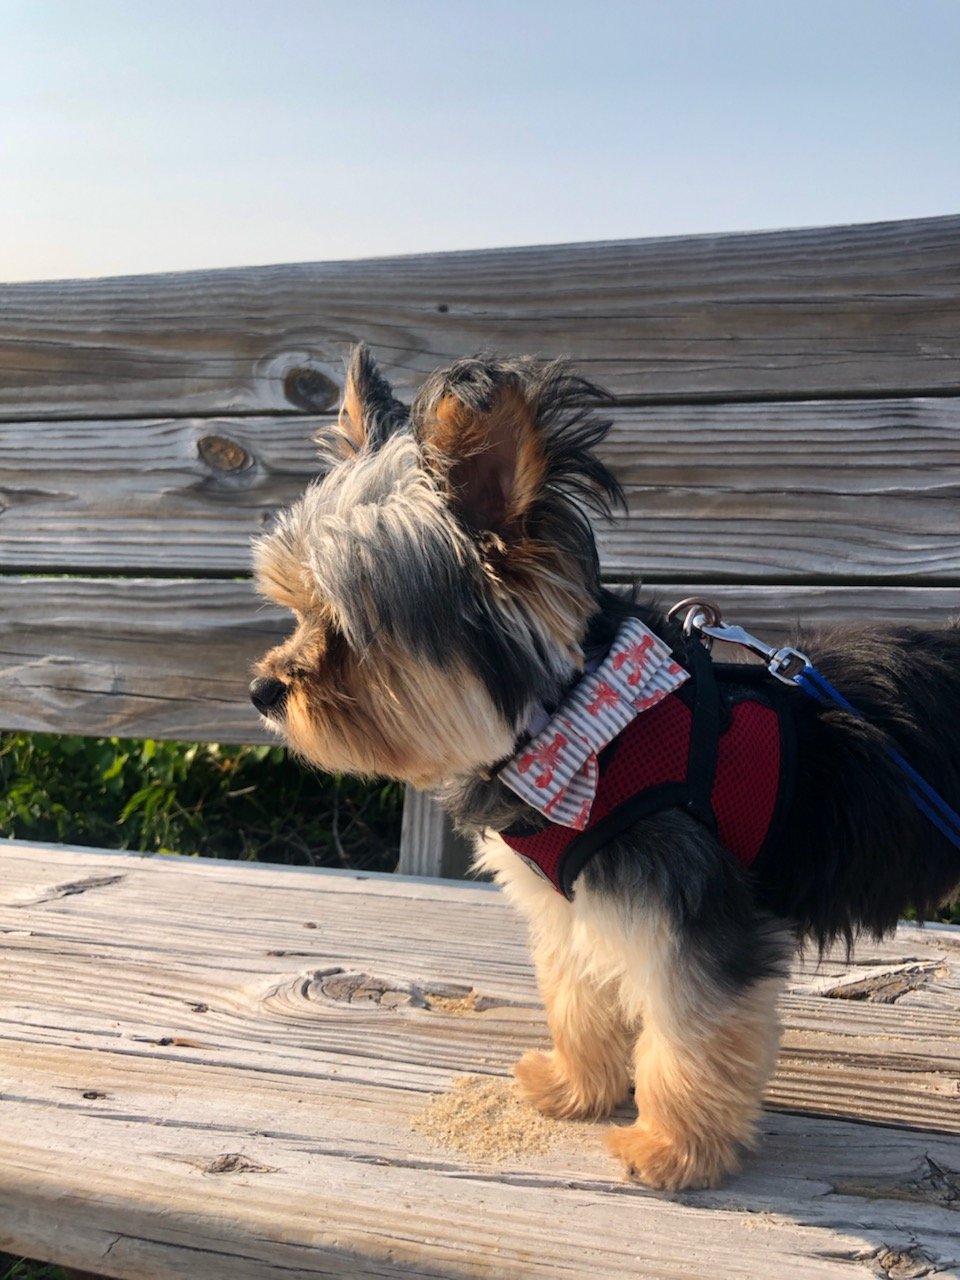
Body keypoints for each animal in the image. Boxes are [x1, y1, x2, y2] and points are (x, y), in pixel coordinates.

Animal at [252, 348, 960, 1187]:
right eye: (296, 608)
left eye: (348, 629)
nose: (261, 690)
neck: (582, 726)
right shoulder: (574, 909)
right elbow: (577, 999)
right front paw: (575, 1088)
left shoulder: (691, 915)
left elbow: (688, 1037)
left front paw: (671, 1150)